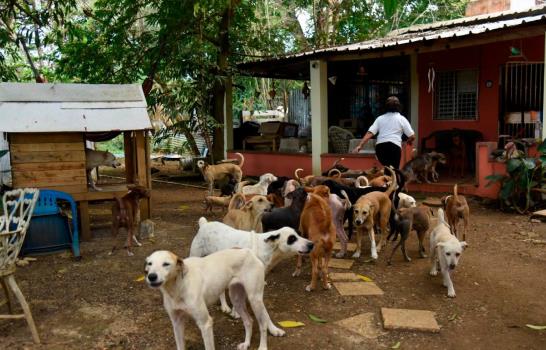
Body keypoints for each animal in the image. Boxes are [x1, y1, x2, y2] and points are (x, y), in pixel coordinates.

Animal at [144, 249, 284, 350]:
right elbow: (180, 346)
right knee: (249, 321)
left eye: (166, 264)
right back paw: (246, 343)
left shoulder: (205, 324)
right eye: (150, 264)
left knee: (262, 324)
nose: (151, 276)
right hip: (237, 300)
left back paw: (263, 347)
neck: (178, 287)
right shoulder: (177, 322)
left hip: (255, 299)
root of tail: (249, 252)